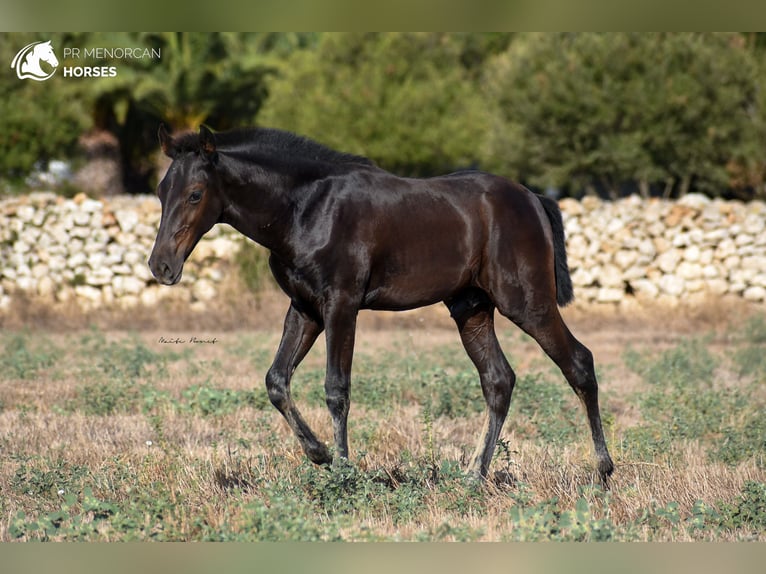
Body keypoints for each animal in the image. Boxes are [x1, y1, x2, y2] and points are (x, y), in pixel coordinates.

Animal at [150, 127, 616, 486]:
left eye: (195, 194)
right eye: (160, 191)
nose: (161, 266)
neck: (306, 209)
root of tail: (534, 198)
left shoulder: (341, 304)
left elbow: (336, 389)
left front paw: (342, 472)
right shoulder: (304, 308)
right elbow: (276, 380)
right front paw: (319, 454)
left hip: (527, 302)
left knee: (578, 362)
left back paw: (603, 471)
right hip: (471, 309)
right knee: (499, 380)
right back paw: (473, 476)